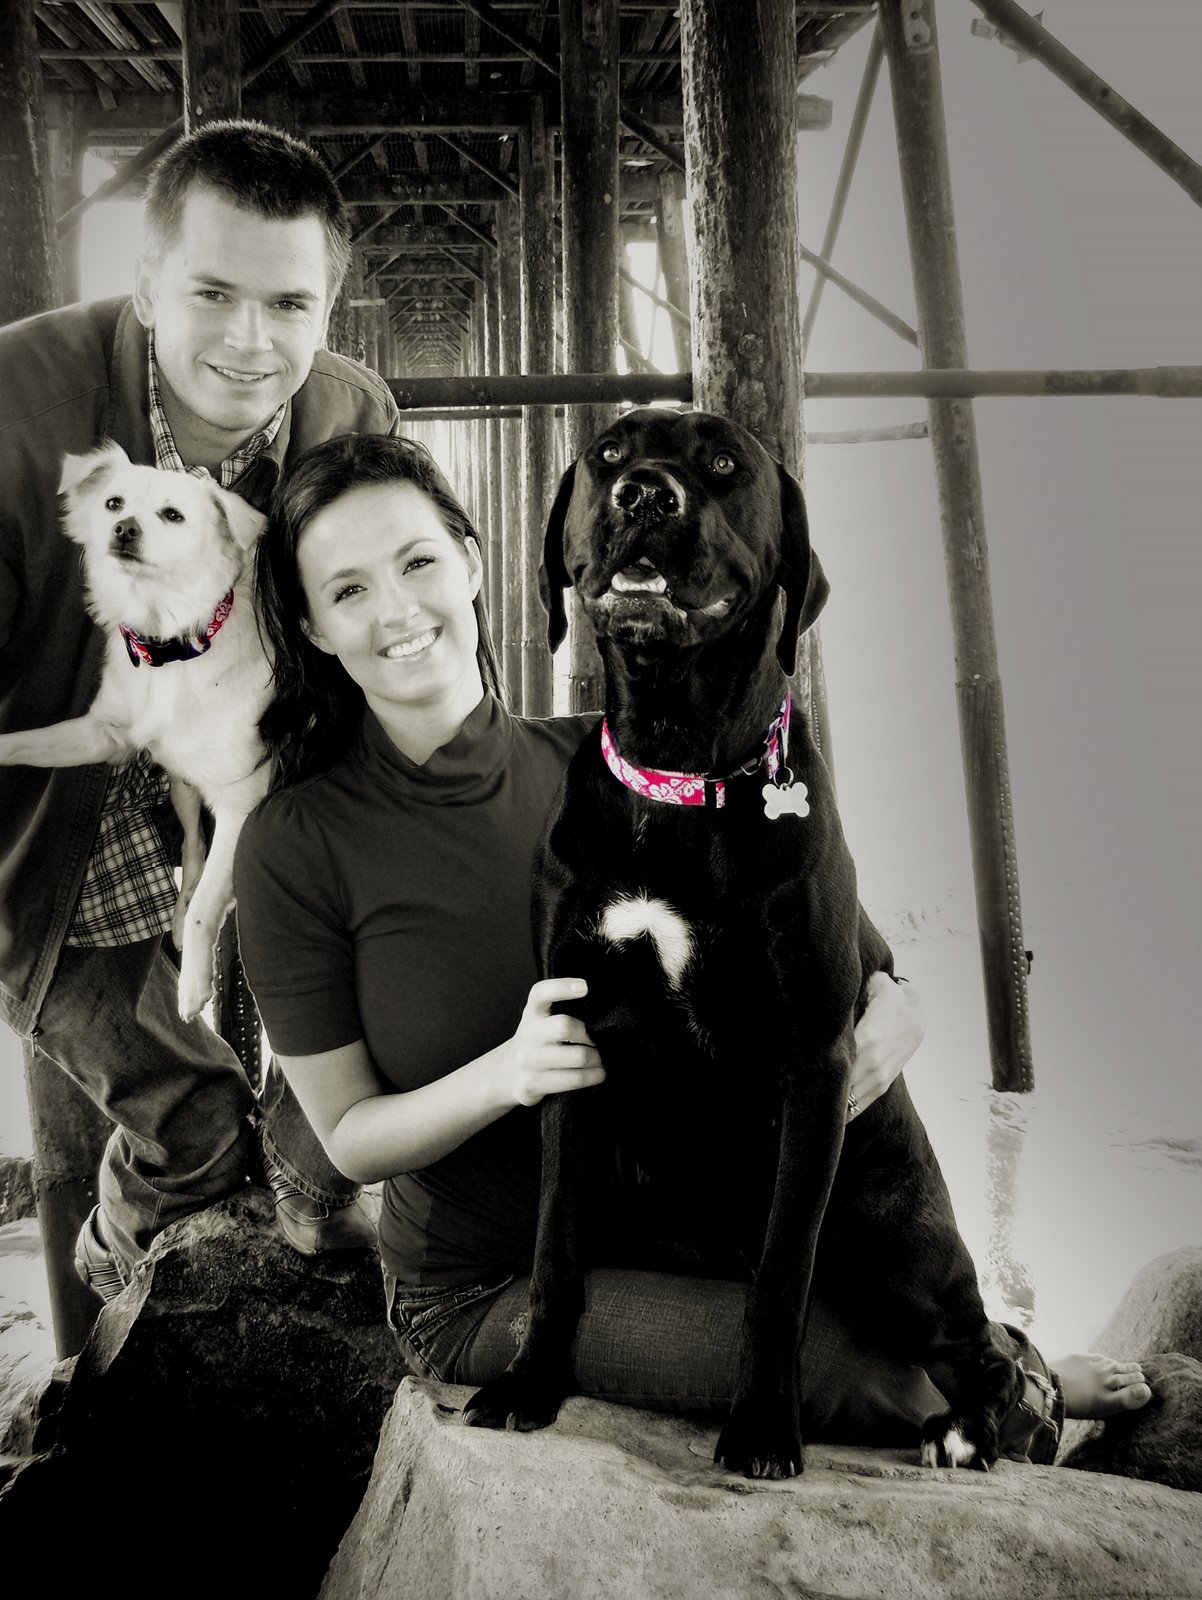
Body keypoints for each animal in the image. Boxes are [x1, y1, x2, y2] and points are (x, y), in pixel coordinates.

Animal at [0, 443, 272, 1022]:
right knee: (193, 847)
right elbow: (34, 741)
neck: (167, 645)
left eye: (173, 515)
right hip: (183, 787)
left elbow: (210, 902)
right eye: (113, 503)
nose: (123, 528)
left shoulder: (243, 803)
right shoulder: (104, 735)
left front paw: (193, 986)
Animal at [463, 408, 1022, 1479]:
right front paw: (528, 1384)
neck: (677, 766)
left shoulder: (814, 1065)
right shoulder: (570, 1037)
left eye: (725, 464)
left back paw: (969, 1430)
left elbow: (779, 1281)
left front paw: (762, 1428)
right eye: (607, 453)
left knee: (982, 1347)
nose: (645, 491)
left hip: (894, 1243)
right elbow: (555, 1247)